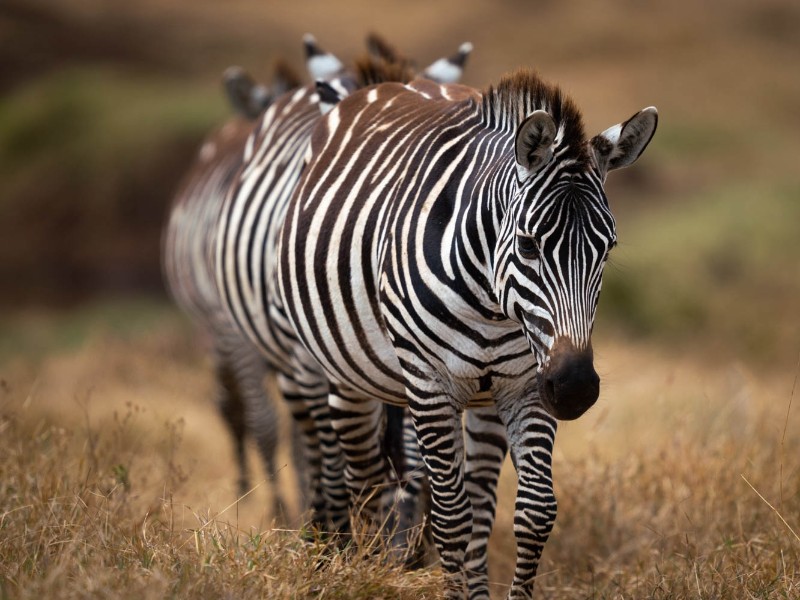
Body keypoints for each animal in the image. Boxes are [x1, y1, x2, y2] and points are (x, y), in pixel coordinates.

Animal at [162, 61, 301, 500]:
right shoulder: (237, 338)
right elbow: (266, 426)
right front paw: (280, 511)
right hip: (215, 337)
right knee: (230, 407)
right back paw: (244, 490)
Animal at [277, 70, 657, 598]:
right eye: (528, 245)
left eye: (608, 248)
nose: (576, 388)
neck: (492, 306)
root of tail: (390, 82)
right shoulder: (430, 384)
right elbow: (449, 518)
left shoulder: (528, 384)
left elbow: (534, 512)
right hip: (347, 375)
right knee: (367, 481)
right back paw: (366, 568)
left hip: (484, 402)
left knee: (475, 500)